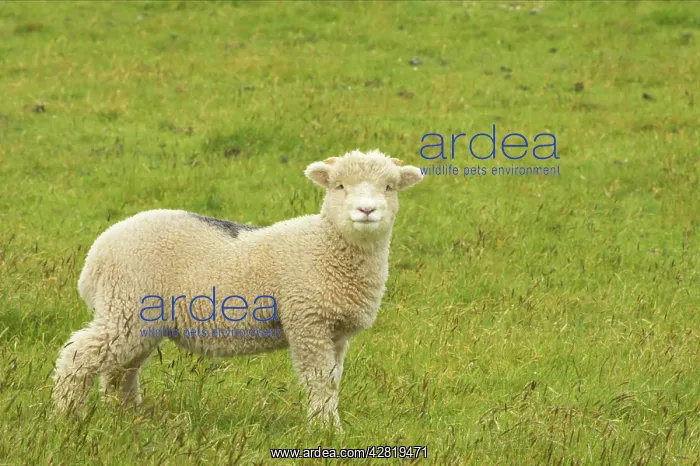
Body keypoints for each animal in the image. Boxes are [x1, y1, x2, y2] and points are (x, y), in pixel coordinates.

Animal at [52, 149, 423, 430]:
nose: (366, 210)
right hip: (126, 305)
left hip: (142, 319)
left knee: (121, 369)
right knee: (79, 354)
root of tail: (96, 256)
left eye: (389, 187)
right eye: (340, 186)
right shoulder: (308, 322)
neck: (326, 246)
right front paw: (325, 428)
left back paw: (126, 414)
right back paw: (65, 413)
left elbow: (332, 379)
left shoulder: (336, 331)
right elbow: (319, 379)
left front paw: (328, 424)